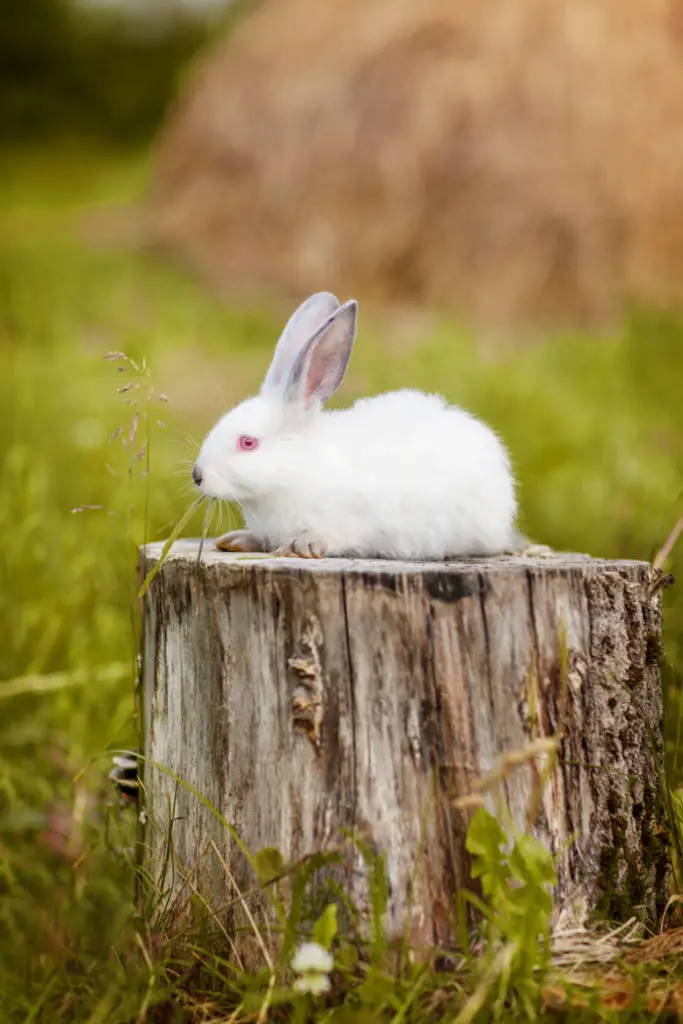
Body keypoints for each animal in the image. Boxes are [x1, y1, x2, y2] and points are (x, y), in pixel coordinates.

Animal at [191, 292, 518, 557]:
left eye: (248, 442)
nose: (198, 476)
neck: (294, 470)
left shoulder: (350, 522)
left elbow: (331, 536)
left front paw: (302, 546)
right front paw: (237, 540)